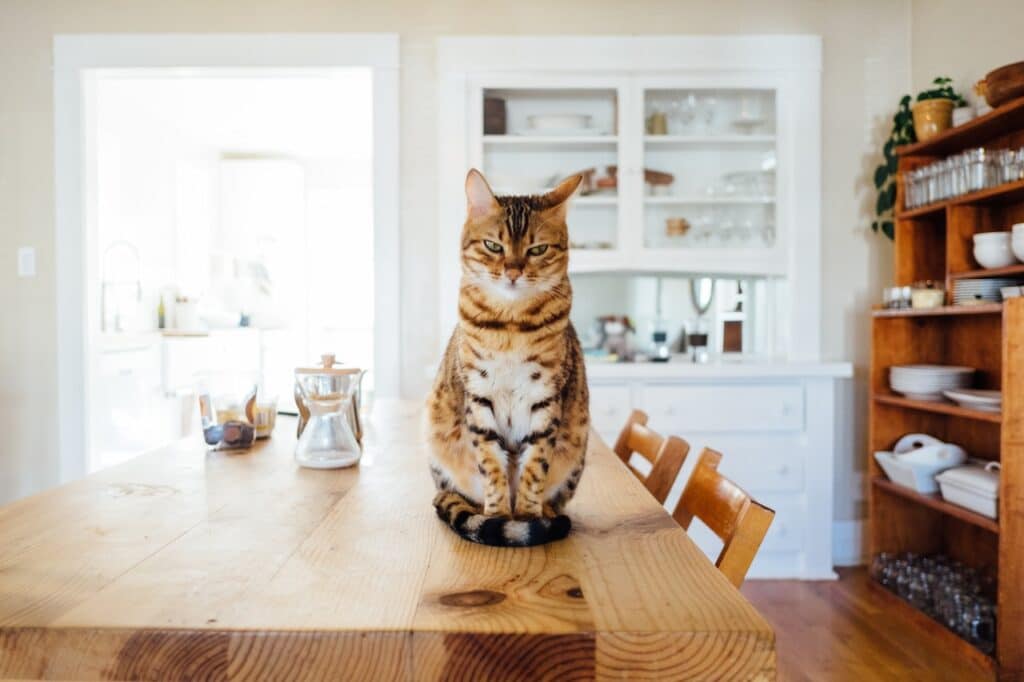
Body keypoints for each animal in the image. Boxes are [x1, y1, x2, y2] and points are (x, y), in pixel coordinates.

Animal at [425, 166, 593, 544]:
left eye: (538, 249)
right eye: (493, 245)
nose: (513, 272)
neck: (511, 327)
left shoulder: (546, 398)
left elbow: (535, 467)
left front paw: (528, 517)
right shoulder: (478, 396)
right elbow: (491, 465)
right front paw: (499, 515)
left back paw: (546, 514)